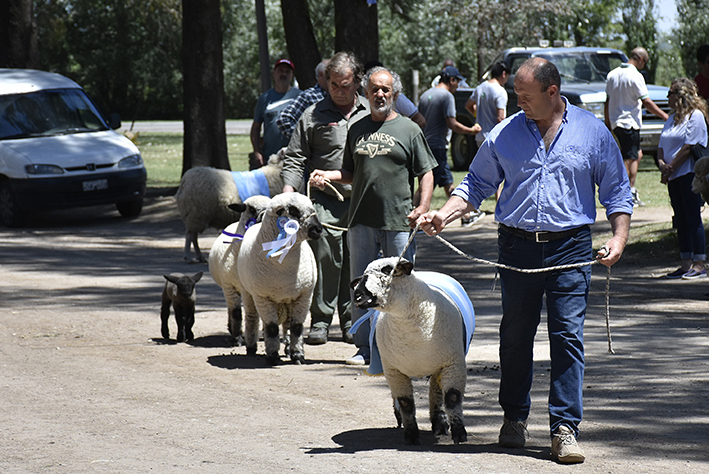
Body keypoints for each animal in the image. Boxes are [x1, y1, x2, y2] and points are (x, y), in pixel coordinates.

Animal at [207, 194, 272, 346]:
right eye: (251, 209)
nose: (264, 218)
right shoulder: (229, 286)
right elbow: (236, 313)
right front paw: (237, 338)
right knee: (231, 309)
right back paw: (232, 330)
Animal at [239, 191, 324, 364]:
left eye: (313, 209)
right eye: (293, 211)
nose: (318, 229)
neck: (284, 267)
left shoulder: (304, 295)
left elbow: (297, 326)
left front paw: (298, 355)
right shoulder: (262, 297)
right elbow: (271, 328)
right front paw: (273, 356)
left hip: (288, 298)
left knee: (287, 323)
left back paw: (288, 348)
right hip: (248, 292)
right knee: (252, 318)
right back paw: (251, 348)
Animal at [350, 256, 476, 444]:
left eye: (387, 270)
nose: (357, 295)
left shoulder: (453, 364)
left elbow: (452, 398)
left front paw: (459, 433)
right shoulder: (394, 371)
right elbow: (406, 404)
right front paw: (411, 435)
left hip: (439, 365)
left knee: (436, 391)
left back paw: (440, 424)